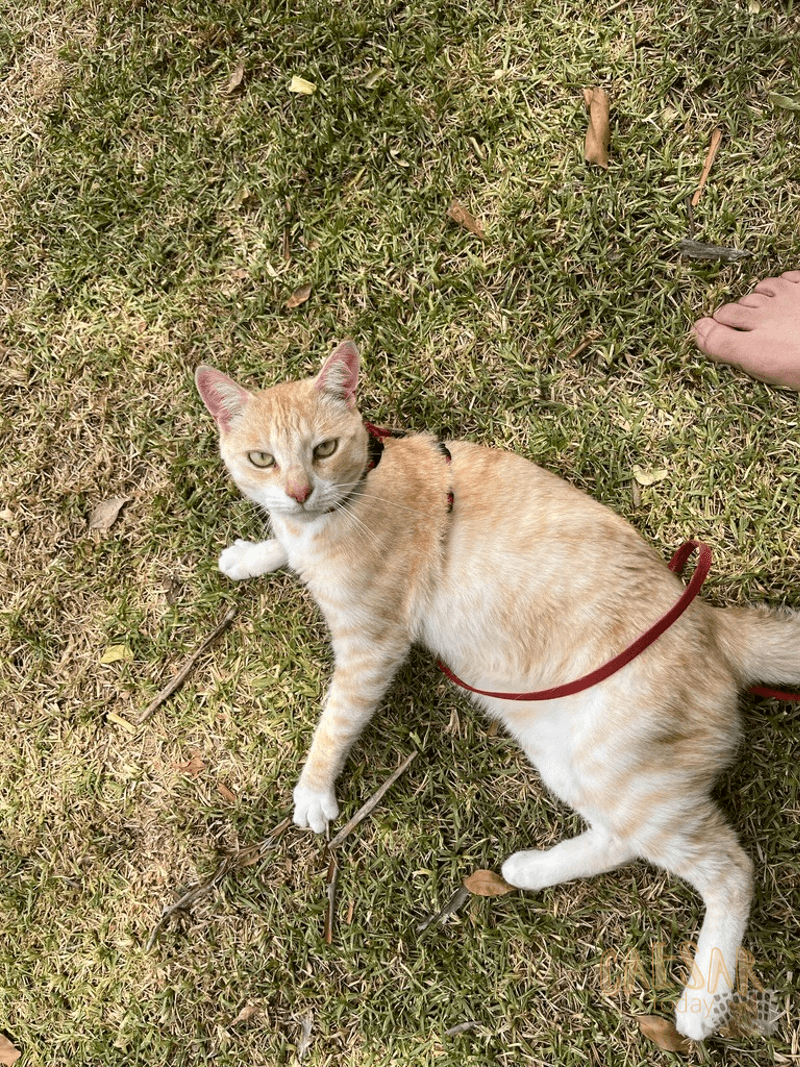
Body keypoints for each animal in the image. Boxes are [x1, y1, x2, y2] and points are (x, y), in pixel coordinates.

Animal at [195, 340, 800, 1042]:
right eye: (262, 458)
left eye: (322, 448)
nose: (298, 490)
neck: (358, 487)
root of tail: (710, 619)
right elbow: (281, 545)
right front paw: (253, 554)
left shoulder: (372, 646)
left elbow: (335, 724)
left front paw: (314, 791)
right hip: (569, 758)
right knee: (624, 841)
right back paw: (531, 870)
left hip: (618, 771)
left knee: (729, 869)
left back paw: (703, 1003)